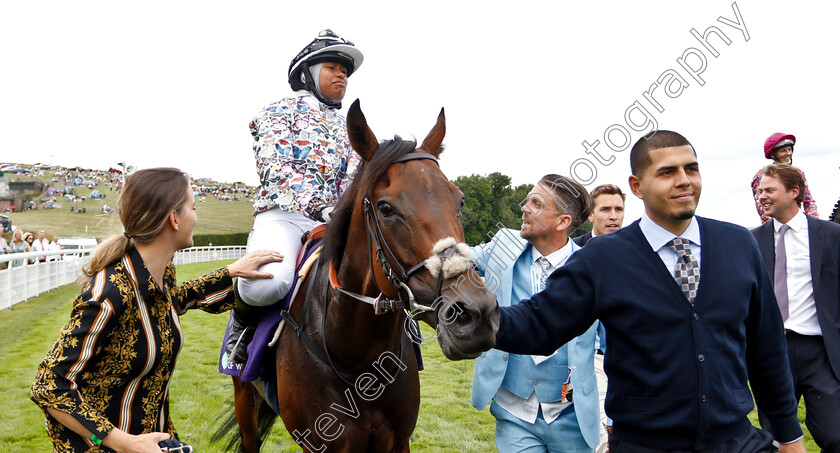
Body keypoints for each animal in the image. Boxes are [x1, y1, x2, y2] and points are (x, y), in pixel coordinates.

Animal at [220, 100, 502, 450]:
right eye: (385, 208)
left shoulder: (398, 440)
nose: (477, 314)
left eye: (459, 200)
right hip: (244, 398)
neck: (357, 359)